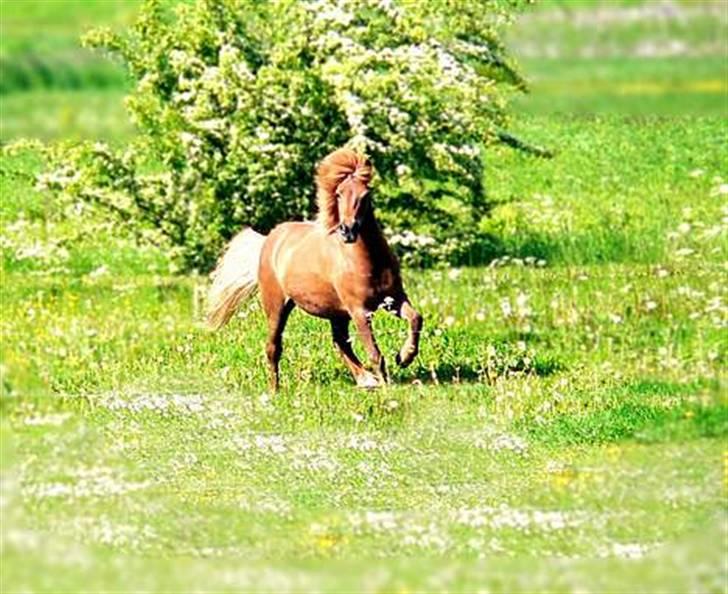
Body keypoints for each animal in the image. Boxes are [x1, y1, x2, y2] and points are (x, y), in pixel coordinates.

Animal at [206, 146, 420, 390]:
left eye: (365, 195)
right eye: (339, 194)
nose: (347, 230)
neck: (368, 261)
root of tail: (270, 239)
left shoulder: (393, 299)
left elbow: (416, 318)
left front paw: (404, 357)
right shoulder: (359, 311)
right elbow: (375, 354)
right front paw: (387, 386)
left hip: (337, 313)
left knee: (340, 342)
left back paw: (365, 379)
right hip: (277, 307)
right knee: (273, 347)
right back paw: (274, 390)